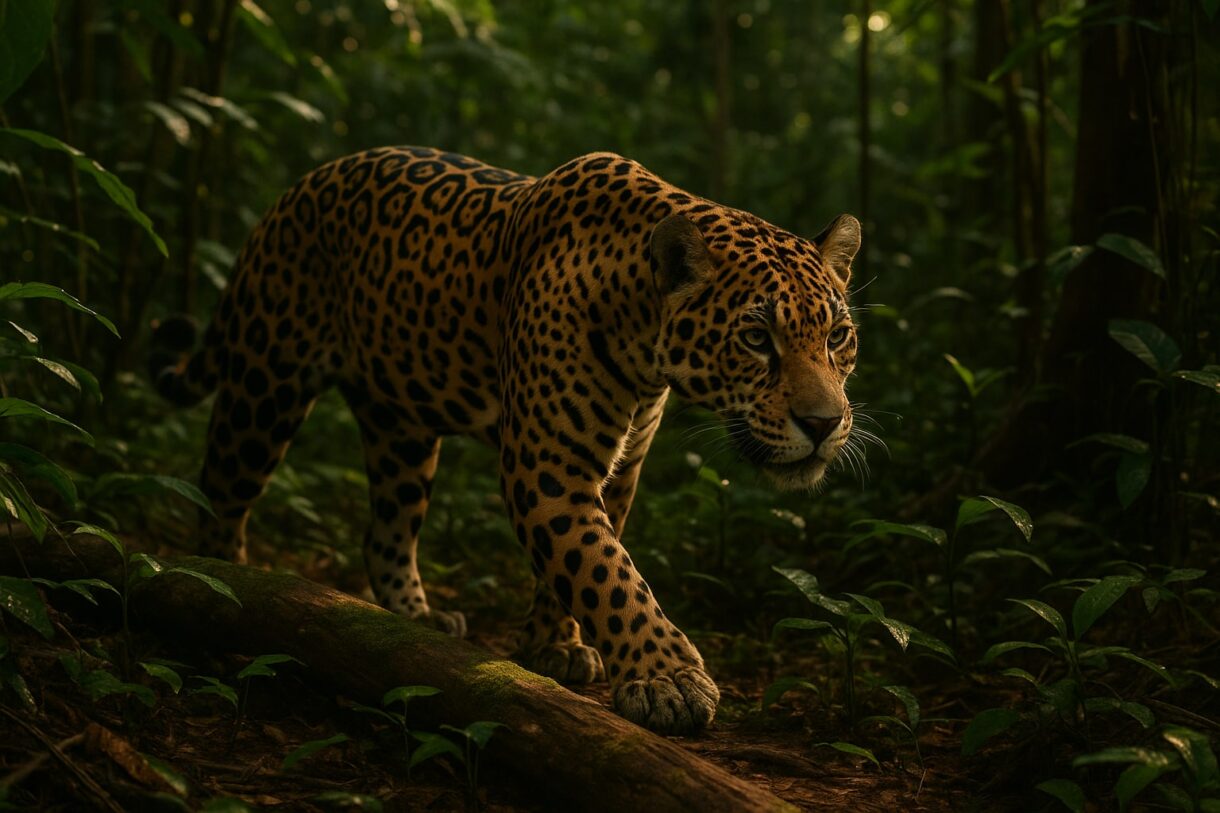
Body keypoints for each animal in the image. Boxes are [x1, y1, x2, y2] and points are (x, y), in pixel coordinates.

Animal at [151, 146, 862, 735]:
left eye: (837, 337)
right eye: (756, 339)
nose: (824, 424)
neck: (643, 339)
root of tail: (295, 188)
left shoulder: (617, 469)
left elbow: (579, 563)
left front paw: (555, 647)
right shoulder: (547, 467)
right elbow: (609, 572)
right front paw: (667, 679)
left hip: (402, 430)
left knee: (384, 532)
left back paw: (417, 616)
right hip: (265, 386)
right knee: (219, 494)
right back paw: (226, 600)